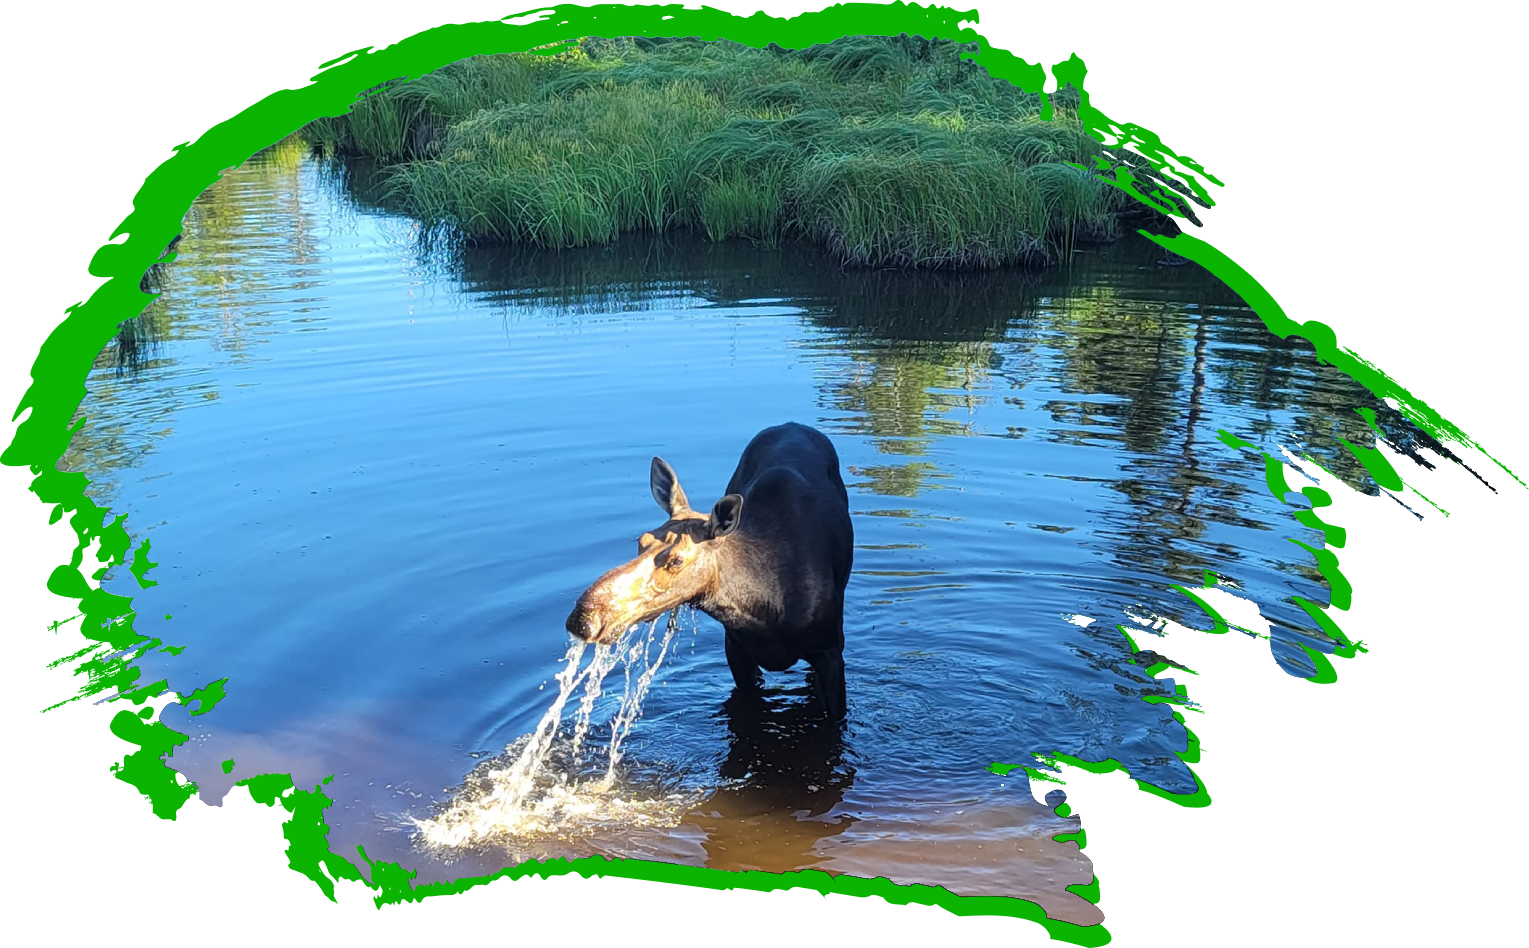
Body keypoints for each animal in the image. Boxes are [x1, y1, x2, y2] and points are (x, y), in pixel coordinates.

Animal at [565, 422, 856, 718]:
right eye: (641, 541)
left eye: (676, 560)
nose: (584, 618)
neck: (764, 608)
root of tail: (793, 425)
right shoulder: (735, 648)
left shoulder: (829, 649)